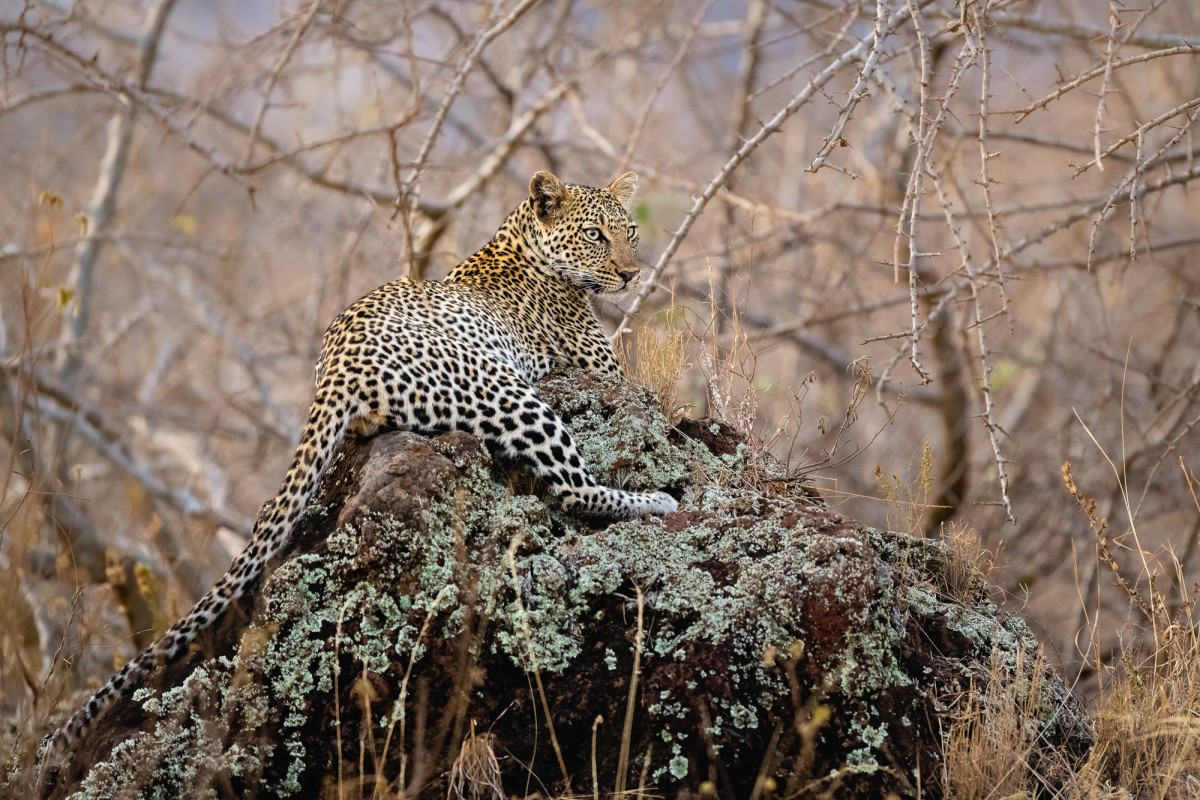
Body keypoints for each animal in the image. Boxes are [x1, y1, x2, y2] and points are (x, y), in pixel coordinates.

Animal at [42, 170, 681, 782]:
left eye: (630, 231)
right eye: (595, 235)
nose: (631, 273)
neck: (519, 238)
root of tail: (336, 367)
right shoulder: (607, 373)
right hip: (510, 395)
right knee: (574, 490)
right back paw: (657, 501)